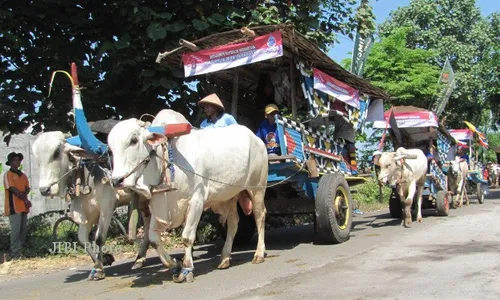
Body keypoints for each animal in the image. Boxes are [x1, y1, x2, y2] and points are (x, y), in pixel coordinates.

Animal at [107, 113, 268, 284]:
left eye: (133, 140)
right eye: (110, 147)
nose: (116, 181)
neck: (166, 163)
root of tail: (255, 138)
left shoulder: (196, 201)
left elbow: (187, 237)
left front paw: (187, 269)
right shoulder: (158, 208)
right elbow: (154, 239)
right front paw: (175, 264)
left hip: (257, 188)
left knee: (260, 217)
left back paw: (258, 254)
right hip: (229, 196)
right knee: (233, 223)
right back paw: (225, 258)